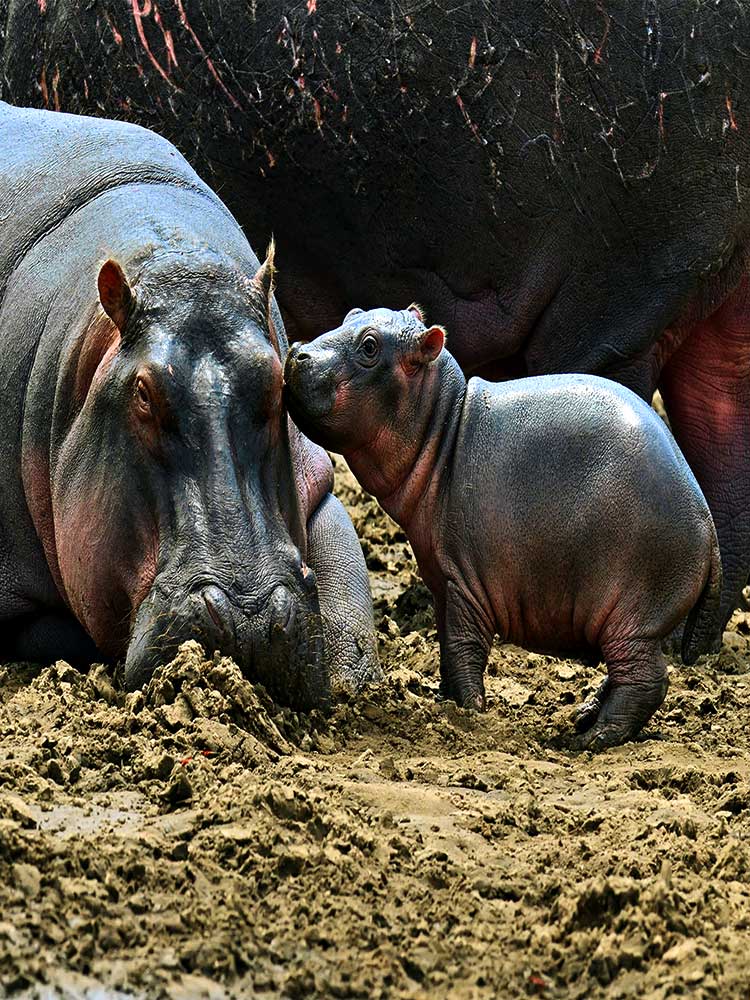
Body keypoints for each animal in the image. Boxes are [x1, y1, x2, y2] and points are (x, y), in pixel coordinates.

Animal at [0, 100, 380, 707]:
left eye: (278, 379)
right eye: (143, 392)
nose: (250, 617)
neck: (177, 265)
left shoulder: (316, 482)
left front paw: (352, 680)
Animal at [284, 306, 722, 748]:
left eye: (370, 346)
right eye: (352, 314)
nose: (297, 350)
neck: (443, 426)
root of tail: (706, 516)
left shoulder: (466, 581)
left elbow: (462, 645)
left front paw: (469, 711)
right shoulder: (442, 578)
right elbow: (446, 643)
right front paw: (444, 700)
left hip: (635, 612)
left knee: (645, 679)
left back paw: (592, 738)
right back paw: (584, 716)